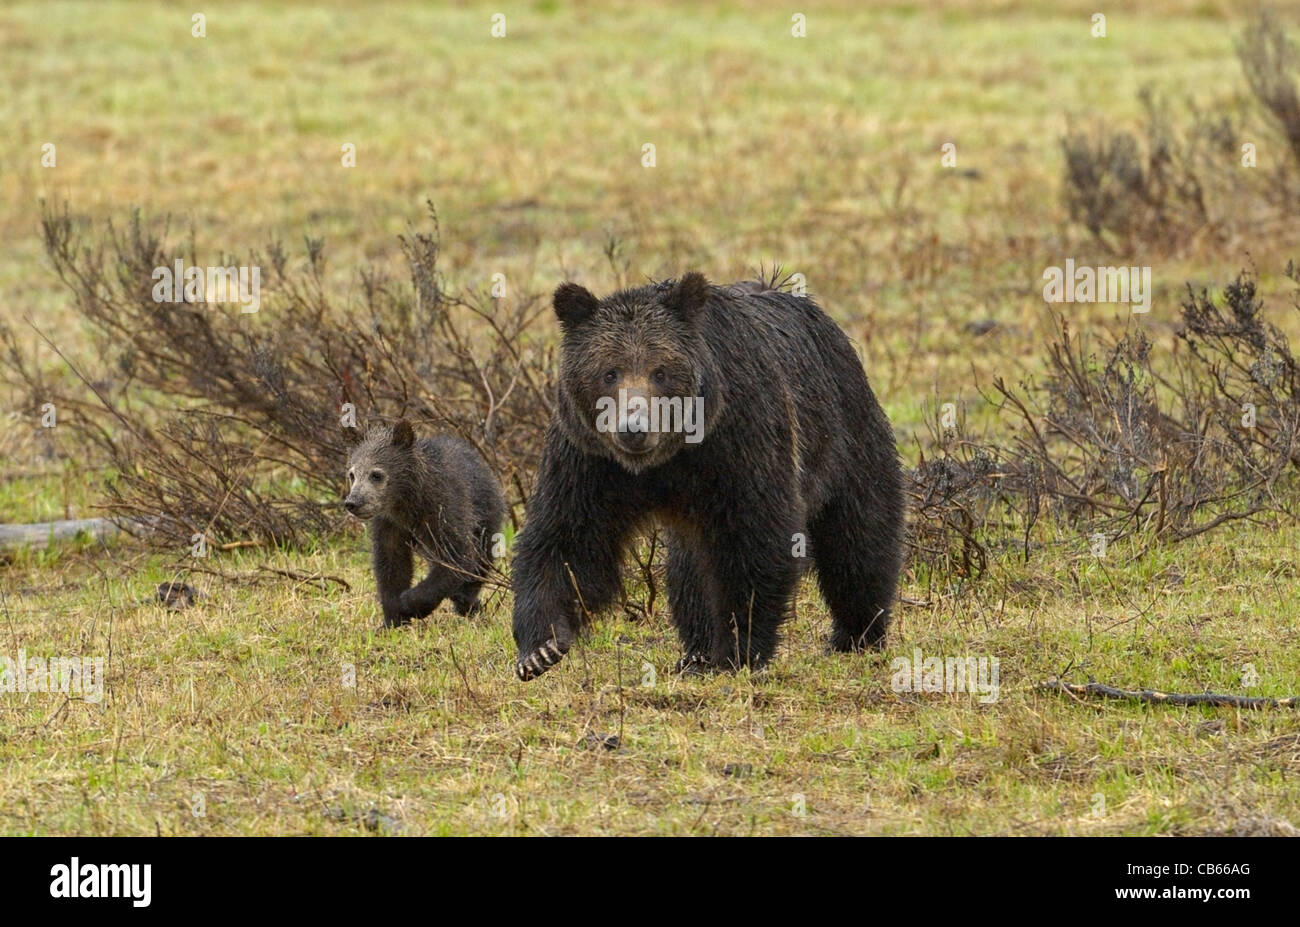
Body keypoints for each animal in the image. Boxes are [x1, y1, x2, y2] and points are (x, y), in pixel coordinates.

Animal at [509, 273, 904, 681]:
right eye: (609, 371)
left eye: (660, 371)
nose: (634, 429)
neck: (664, 460)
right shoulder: (589, 459)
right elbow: (568, 538)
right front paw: (541, 648)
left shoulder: (738, 439)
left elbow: (754, 537)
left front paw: (739, 650)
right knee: (690, 570)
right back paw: (696, 652)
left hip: (844, 431)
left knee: (858, 536)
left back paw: (857, 633)